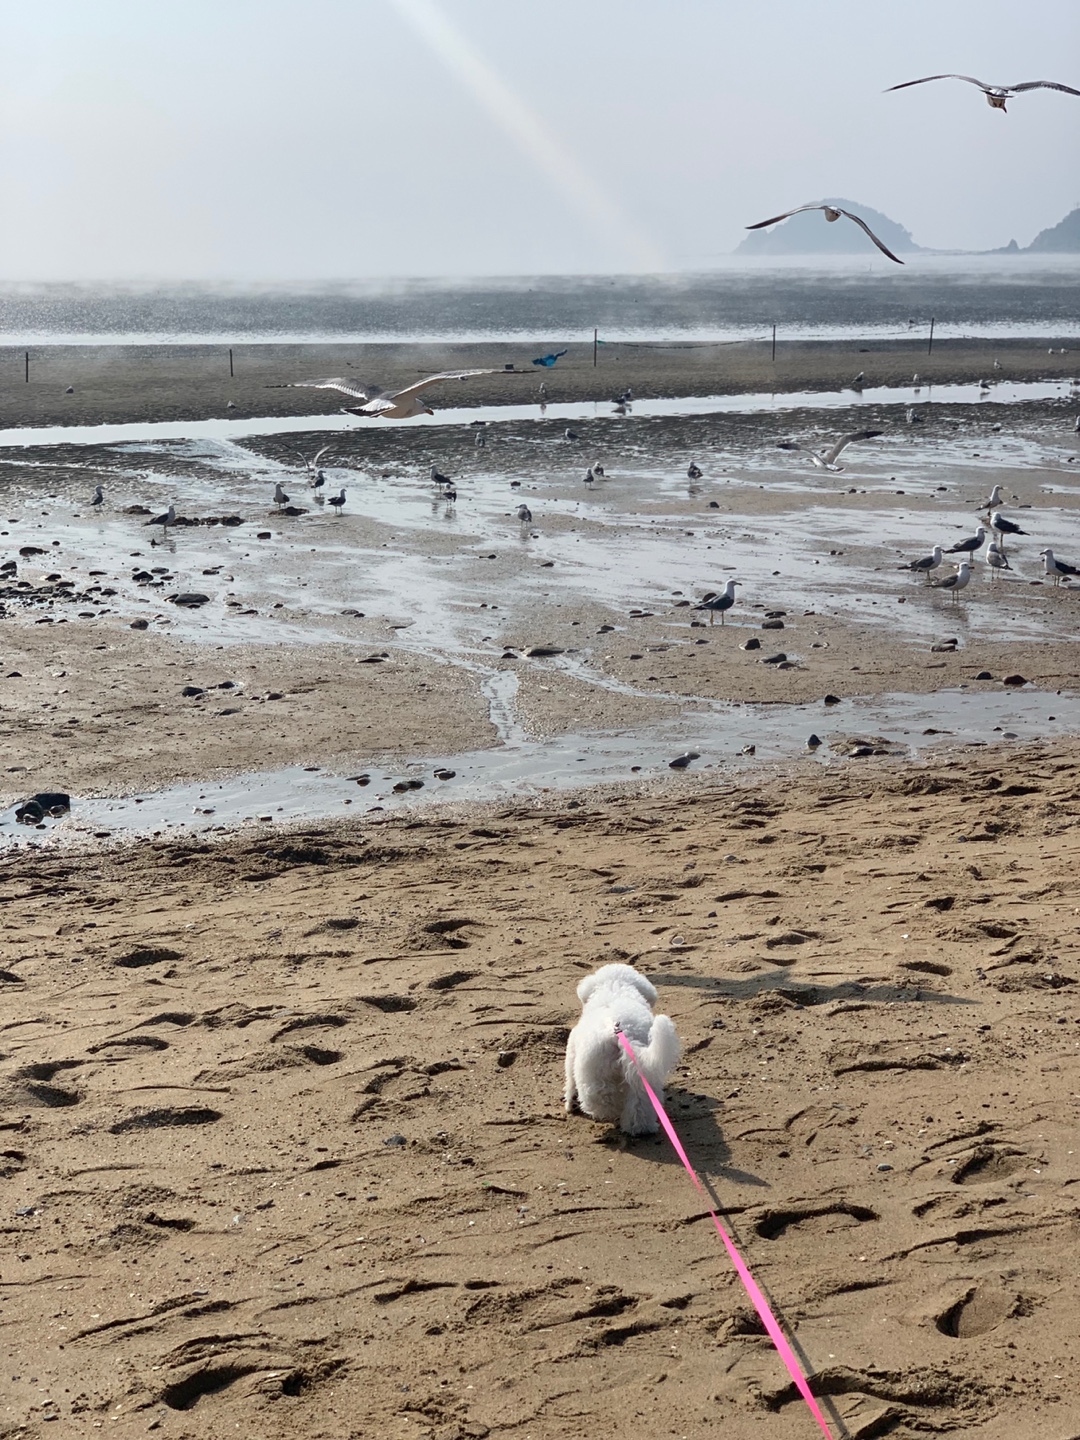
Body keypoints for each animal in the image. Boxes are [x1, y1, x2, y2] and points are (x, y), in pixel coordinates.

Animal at [561, 967, 679, 1134]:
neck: (615, 986)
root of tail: (624, 1035)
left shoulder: (572, 1050)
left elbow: (570, 1081)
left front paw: (570, 1103)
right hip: (643, 1075)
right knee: (640, 1104)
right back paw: (640, 1128)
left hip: (594, 1071)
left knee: (601, 1097)